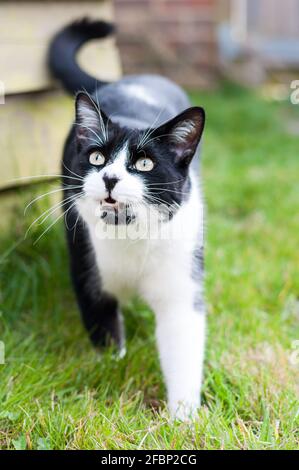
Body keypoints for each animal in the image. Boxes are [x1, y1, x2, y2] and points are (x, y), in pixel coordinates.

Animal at [49, 19, 207, 422]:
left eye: (145, 163)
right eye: (96, 158)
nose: (109, 178)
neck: (130, 236)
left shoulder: (182, 275)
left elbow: (183, 340)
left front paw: (183, 419)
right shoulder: (88, 264)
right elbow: (103, 324)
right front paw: (112, 369)